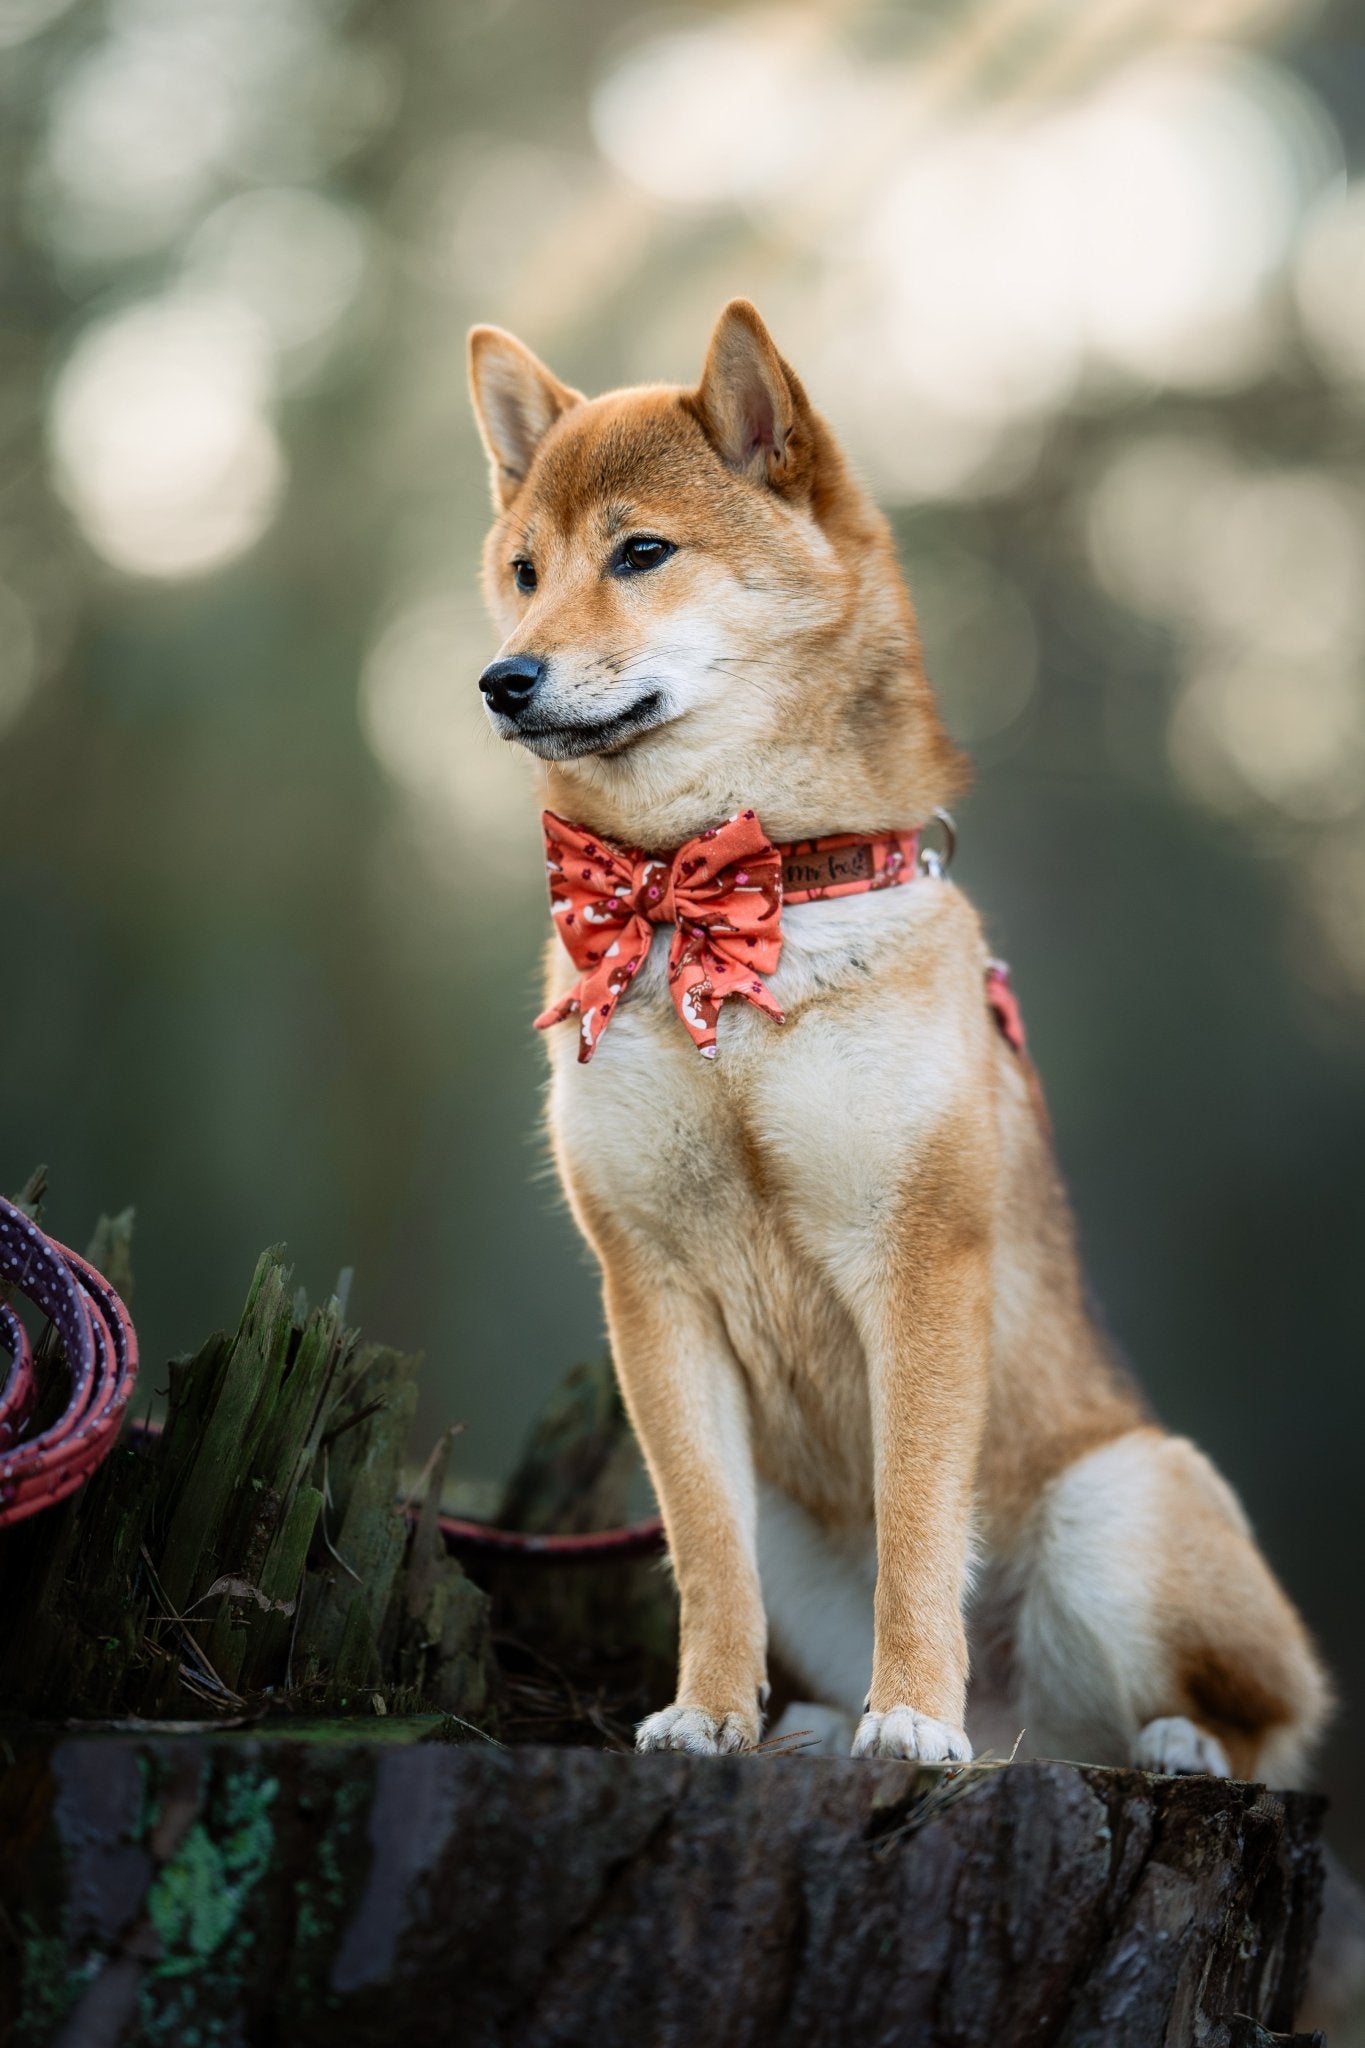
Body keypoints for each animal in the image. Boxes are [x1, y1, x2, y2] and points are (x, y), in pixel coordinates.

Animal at [466, 298, 1330, 1781]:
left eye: (641, 553)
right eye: (523, 572)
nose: (502, 679)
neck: (727, 895)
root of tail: (1019, 1728)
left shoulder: (919, 1263)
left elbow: (923, 1521)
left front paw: (910, 1714)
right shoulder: (654, 1291)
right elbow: (706, 1552)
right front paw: (708, 1713)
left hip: (1122, 1499)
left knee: (1255, 1719)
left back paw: (1149, 1741)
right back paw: (815, 1722)